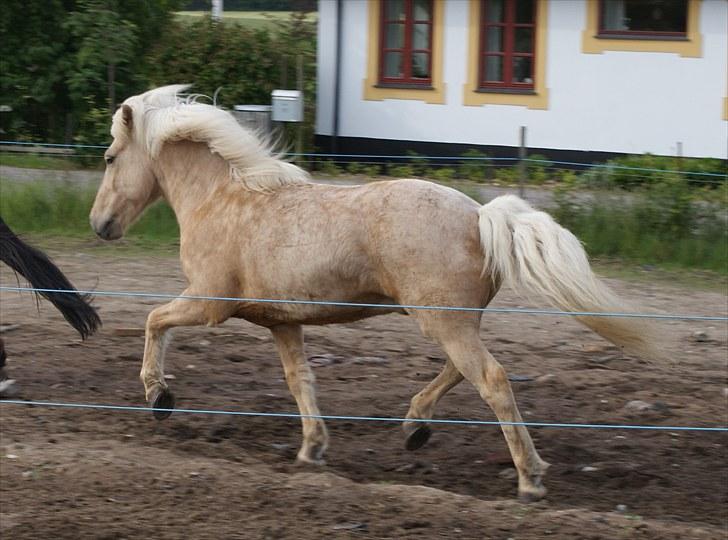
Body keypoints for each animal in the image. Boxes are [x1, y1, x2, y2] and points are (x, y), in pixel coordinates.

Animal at [88, 85, 656, 502]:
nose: (100, 225)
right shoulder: (282, 322)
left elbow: (154, 321)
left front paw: (159, 397)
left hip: (443, 320)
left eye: (111, 158)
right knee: (463, 371)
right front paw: (312, 451)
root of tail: (480, 214)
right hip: (448, 320)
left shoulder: (208, 304)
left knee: (492, 379)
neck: (224, 199)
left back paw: (530, 478)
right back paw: (415, 428)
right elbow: (301, 382)